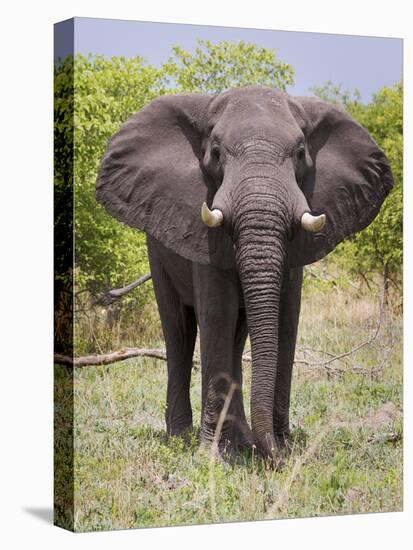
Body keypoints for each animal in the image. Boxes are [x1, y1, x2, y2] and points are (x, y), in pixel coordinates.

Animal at [94, 86, 392, 470]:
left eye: (300, 152)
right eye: (216, 151)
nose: (275, 460)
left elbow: (285, 319)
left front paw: (276, 447)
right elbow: (217, 314)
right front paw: (213, 457)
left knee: (236, 337)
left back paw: (241, 440)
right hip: (156, 249)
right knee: (178, 329)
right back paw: (182, 438)